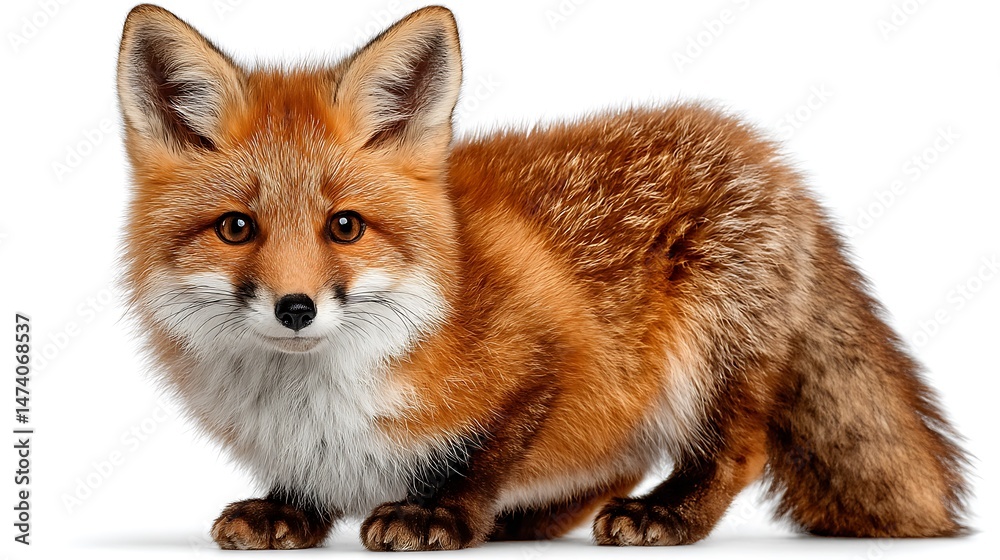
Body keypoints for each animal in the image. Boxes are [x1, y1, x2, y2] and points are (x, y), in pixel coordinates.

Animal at [116, 3, 969, 551]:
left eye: (345, 226)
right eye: (237, 228)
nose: (295, 307)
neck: (316, 399)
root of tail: (771, 160)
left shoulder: (552, 357)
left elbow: (486, 453)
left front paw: (440, 514)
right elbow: (311, 485)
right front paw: (289, 511)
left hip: (707, 351)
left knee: (733, 451)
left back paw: (667, 516)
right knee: (615, 460)